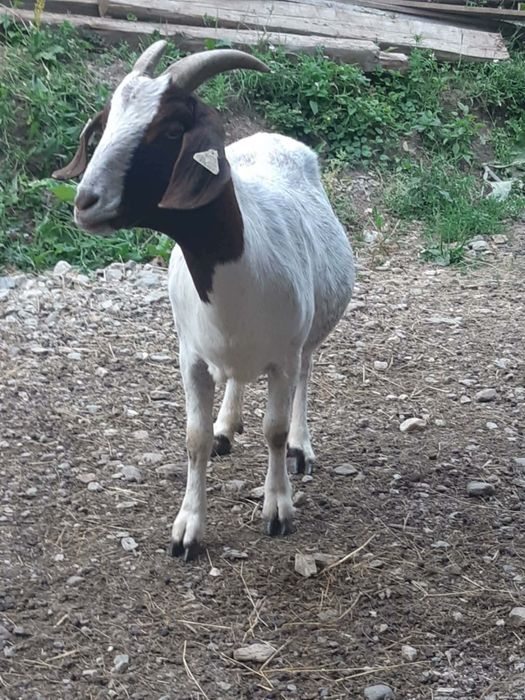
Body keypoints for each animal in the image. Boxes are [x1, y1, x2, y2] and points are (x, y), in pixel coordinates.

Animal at [53, 42, 355, 561]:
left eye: (173, 129)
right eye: (105, 122)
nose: (85, 202)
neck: (242, 269)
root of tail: (274, 138)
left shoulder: (282, 356)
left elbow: (274, 431)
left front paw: (278, 509)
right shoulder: (190, 355)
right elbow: (192, 439)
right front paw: (187, 528)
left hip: (308, 336)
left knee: (305, 377)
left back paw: (301, 446)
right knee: (234, 379)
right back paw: (225, 425)